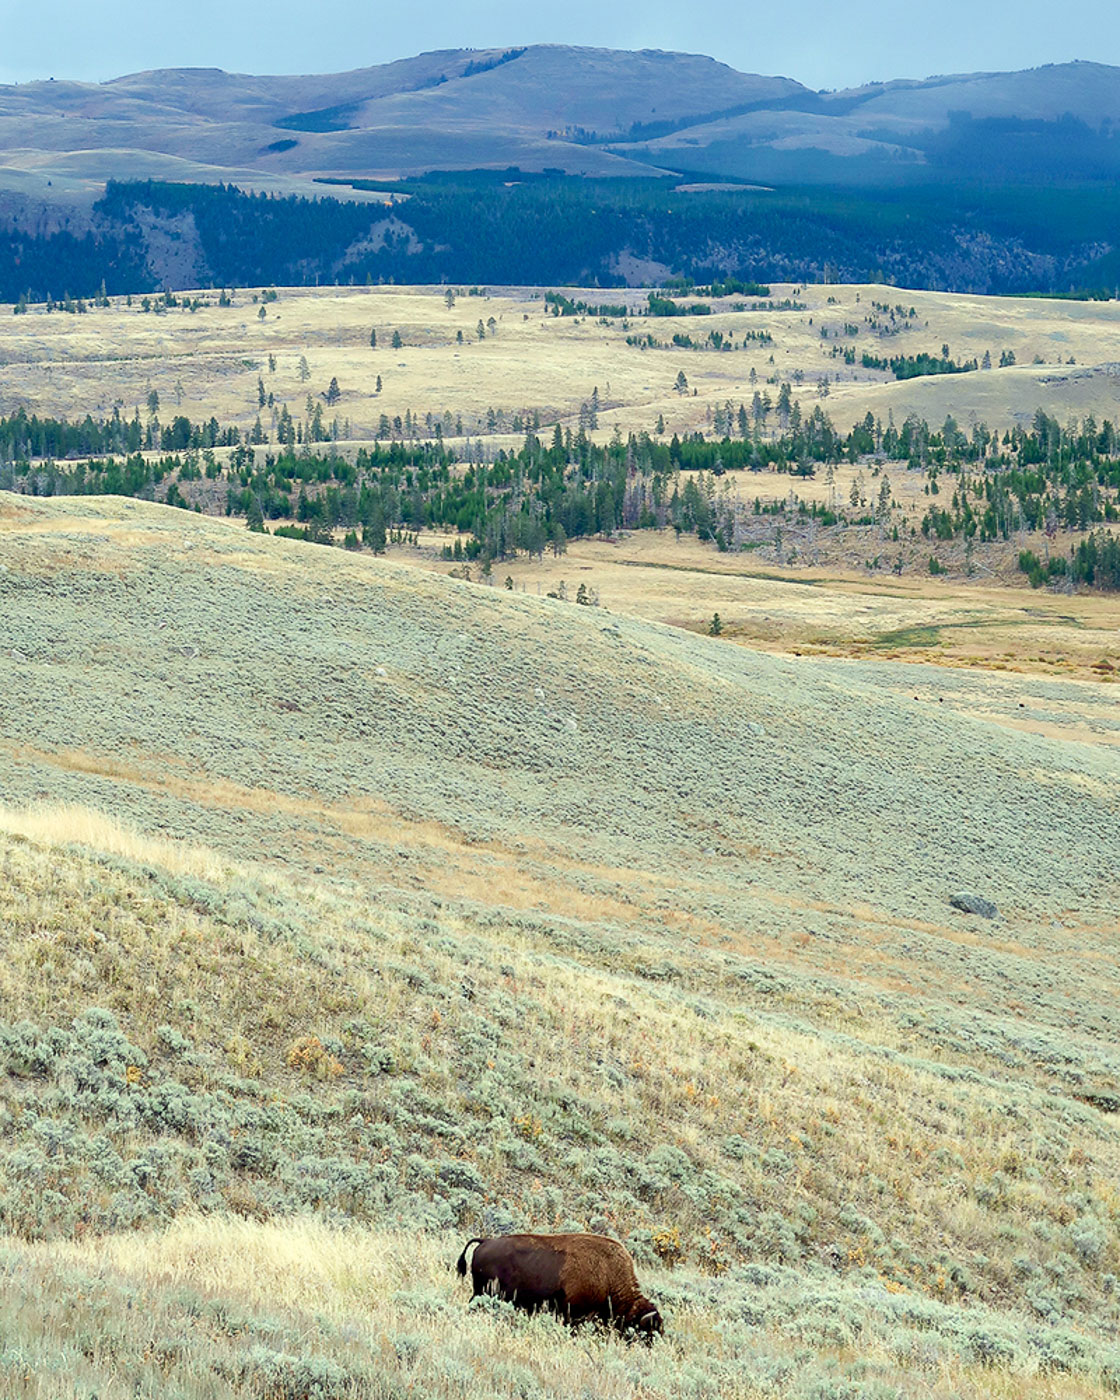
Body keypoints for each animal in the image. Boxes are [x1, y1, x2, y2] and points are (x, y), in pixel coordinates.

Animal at [456, 1232, 662, 1337]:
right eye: (646, 1331)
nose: (649, 1347)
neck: (609, 1274)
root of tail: (485, 1241)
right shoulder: (574, 1312)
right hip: (483, 1292)